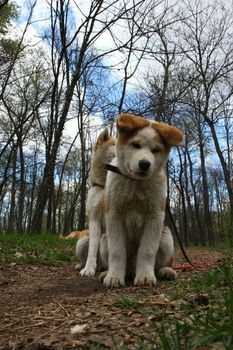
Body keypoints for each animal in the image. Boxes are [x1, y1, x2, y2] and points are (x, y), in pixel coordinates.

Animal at [104, 113, 184, 288]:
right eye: (135, 145)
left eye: (155, 150)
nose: (144, 164)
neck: (136, 183)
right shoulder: (114, 214)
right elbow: (117, 250)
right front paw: (114, 276)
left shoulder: (155, 215)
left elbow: (147, 250)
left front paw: (145, 276)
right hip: (104, 238)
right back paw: (106, 273)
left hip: (166, 238)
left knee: (160, 263)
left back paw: (165, 271)